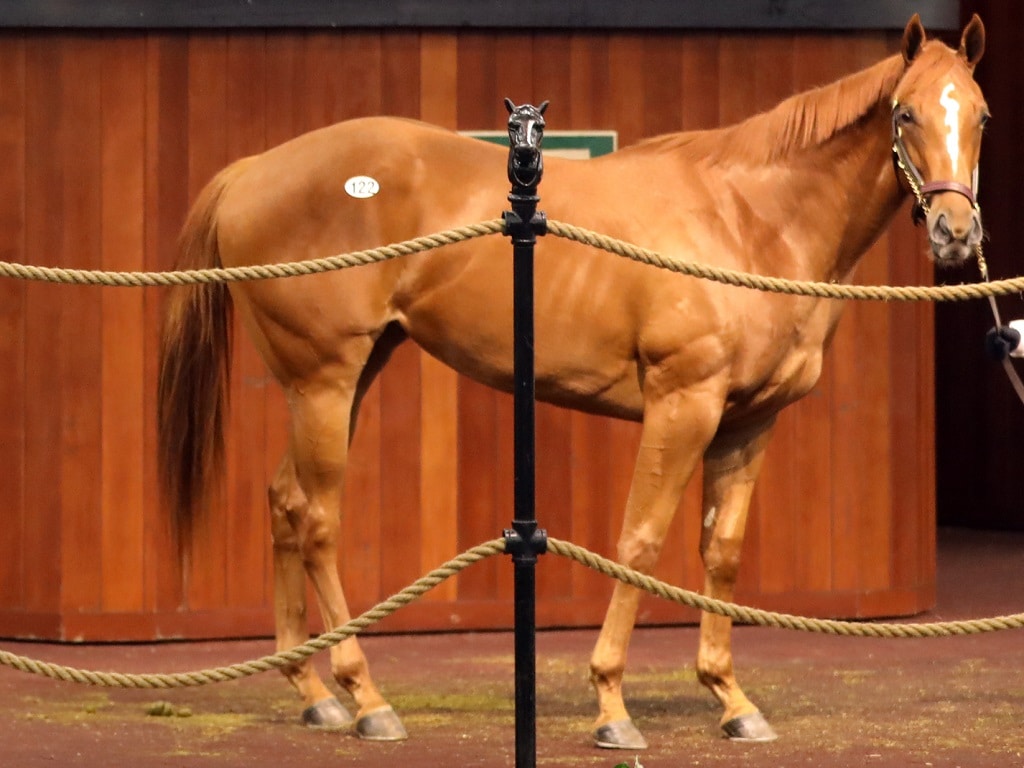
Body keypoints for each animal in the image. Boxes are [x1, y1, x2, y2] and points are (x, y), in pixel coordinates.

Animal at [157, 15, 983, 753]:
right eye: (905, 112)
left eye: (981, 115)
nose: (956, 233)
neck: (748, 219)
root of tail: (253, 169)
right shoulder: (683, 405)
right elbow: (640, 541)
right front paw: (611, 704)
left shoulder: (750, 422)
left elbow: (721, 551)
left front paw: (731, 699)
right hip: (325, 381)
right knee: (319, 518)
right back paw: (367, 700)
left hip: (345, 380)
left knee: (285, 501)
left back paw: (313, 691)